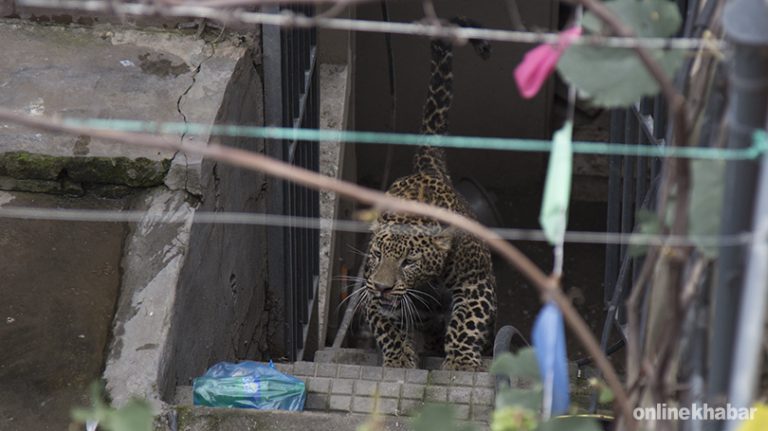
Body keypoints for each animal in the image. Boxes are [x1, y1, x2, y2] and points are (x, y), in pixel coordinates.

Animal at [362, 19, 498, 372]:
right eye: (378, 255)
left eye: (409, 262)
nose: (383, 287)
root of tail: (428, 169)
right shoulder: (368, 285)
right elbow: (386, 323)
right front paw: (398, 357)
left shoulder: (477, 282)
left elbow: (466, 321)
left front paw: (461, 360)